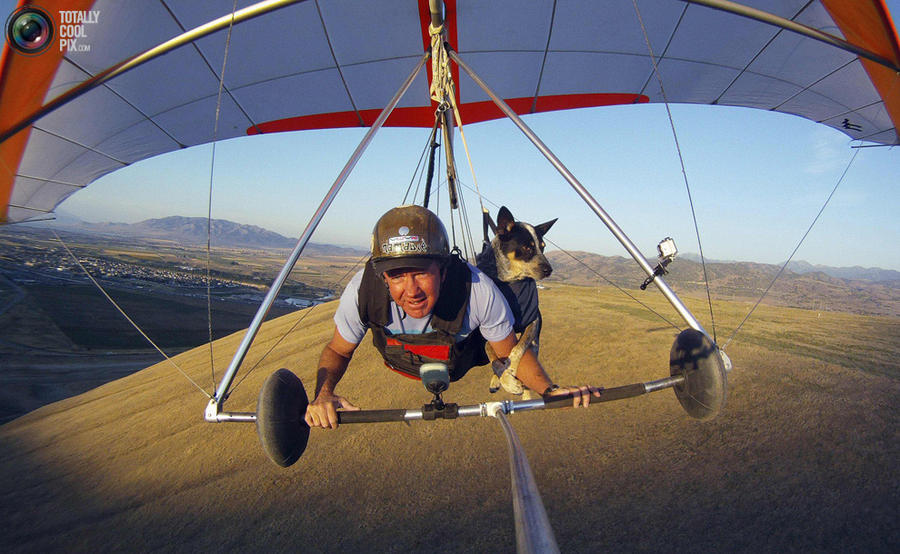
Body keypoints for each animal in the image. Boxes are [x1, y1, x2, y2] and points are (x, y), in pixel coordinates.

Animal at [478, 204, 556, 396]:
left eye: (542, 247)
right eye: (527, 248)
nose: (549, 269)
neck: (511, 281)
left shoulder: (533, 321)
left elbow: (517, 349)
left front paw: (510, 374)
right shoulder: (488, 330)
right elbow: (490, 350)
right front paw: (505, 379)